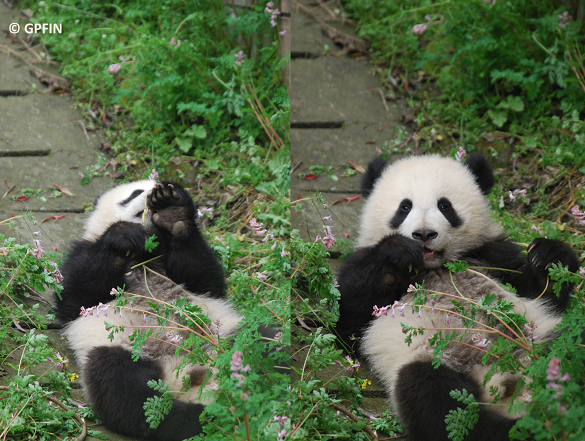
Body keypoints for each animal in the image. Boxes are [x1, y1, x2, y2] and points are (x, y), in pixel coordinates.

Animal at [56, 179, 241, 440]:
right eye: (134, 192)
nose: (151, 195)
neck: (143, 254)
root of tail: (184, 379)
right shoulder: (84, 253)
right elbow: (76, 294)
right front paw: (122, 235)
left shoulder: (179, 268)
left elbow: (204, 278)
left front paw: (172, 210)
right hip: (126, 351)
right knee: (123, 387)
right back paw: (195, 419)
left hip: (222, 335)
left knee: (262, 338)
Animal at [338, 154, 580, 440]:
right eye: (404, 207)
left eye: (445, 206)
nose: (423, 234)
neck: (436, 267)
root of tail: (502, 382)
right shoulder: (364, 266)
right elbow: (350, 323)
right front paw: (396, 253)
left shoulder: (490, 255)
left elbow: (542, 294)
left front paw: (548, 256)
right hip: (436, 359)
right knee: (434, 397)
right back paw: (514, 429)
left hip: (540, 338)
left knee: (571, 344)